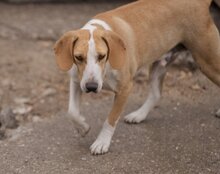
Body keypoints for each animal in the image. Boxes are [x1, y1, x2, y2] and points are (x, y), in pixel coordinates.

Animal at [53, 0, 220, 155]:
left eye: (101, 56)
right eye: (78, 57)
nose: (92, 88)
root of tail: (199, 2)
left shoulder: (125, 89)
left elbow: (110, 119)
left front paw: (102, 142)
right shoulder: (77, 81)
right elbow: (72, 111)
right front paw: (82, 127)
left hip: (208, 63)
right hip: (159, 65)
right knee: (156, 94)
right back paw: (139, 115)